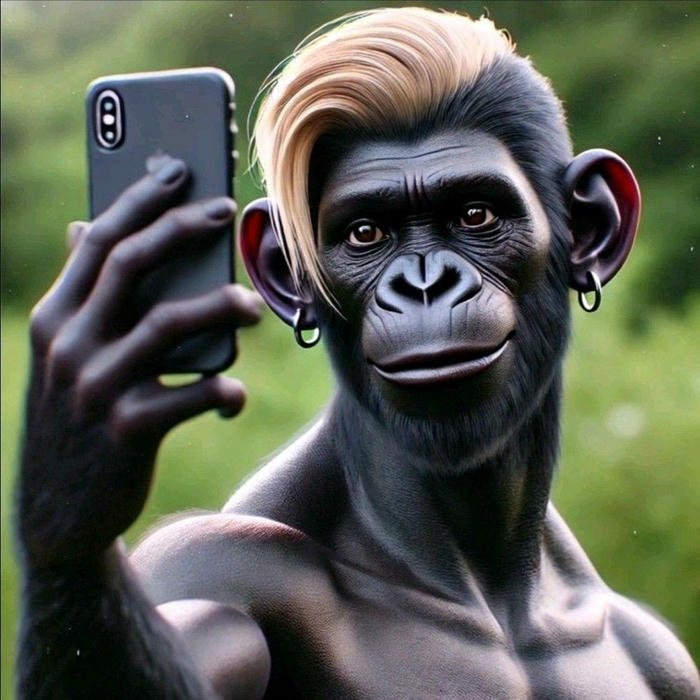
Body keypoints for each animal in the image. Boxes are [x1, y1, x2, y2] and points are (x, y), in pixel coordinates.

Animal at [16, 7, 700, 699]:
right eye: (365, 233)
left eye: (476, 215)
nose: (424, 283)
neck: (490, 582)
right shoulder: (212, 560)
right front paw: (74, 481)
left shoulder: (663, 653)